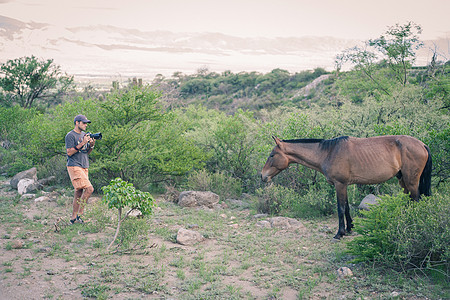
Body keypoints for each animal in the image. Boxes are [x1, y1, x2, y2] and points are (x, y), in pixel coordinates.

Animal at [262, 136, 430, 239]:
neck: (328, 152)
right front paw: (349, 228)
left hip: (411, 182)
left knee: (416, 200)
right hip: (403, 182)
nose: (262, 176)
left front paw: (339, 233)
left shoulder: (340, 185)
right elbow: (347, 207)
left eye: (272, 155)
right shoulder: (345, 185)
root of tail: (422, 144)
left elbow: (340, 208)